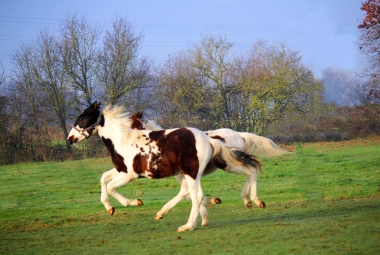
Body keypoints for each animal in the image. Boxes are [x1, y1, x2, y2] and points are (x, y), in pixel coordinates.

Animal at [67, 101, 262, 231]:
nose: (70, 139)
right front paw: (109, 208)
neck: (122, 140)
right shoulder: (121, 170)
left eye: (83, 117)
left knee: (200, 193)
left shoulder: (130, 175)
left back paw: (188, 225)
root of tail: (208, 139)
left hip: (199, 170)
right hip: (197, 172)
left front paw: (132, 202)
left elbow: (111, 187)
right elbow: (103, 180)